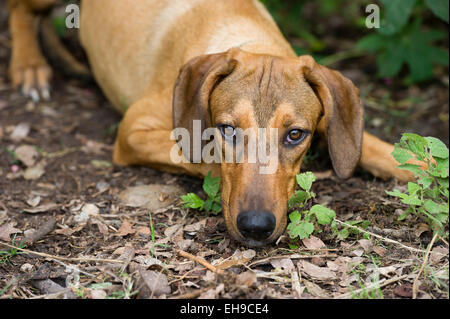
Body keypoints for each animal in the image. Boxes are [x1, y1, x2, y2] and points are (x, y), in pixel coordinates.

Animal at [7, 0, 416, 248]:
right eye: (228, 130)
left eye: (295, 134)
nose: (256, 226)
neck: (249, 37)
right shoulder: (133, 131)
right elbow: (204, 156)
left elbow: (381, 147)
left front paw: (417, 164)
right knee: (20, 9)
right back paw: (29, 65)